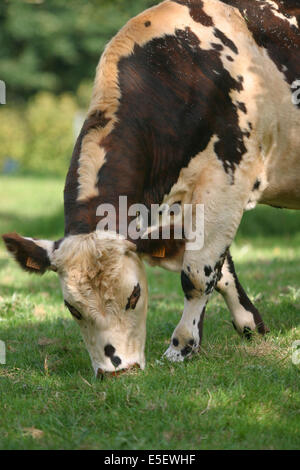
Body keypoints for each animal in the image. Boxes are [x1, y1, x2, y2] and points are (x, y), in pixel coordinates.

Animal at [1, 0, 298, 374]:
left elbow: (197, 273)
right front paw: (249, 326)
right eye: (72, 308)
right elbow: (219, 267)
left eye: (135, 295)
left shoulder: (226, 184)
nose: (118, 371)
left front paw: (181, 346)